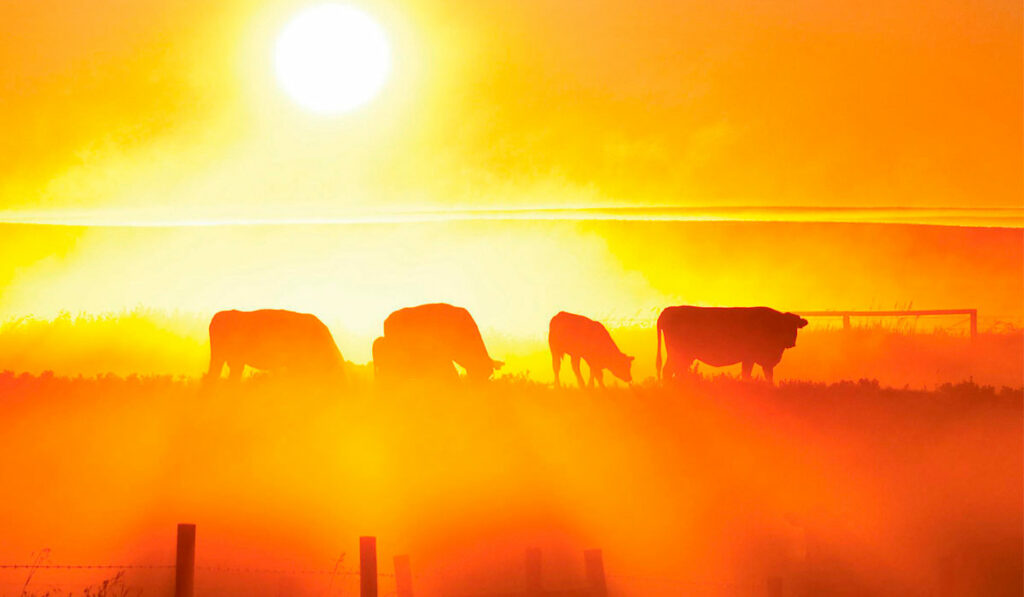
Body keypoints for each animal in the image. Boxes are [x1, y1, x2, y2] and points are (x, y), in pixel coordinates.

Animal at [655, 305, 806, 385]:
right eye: (783, 326)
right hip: (677, 353)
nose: (791, 342)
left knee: (677, 371)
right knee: (669, 370)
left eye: (795, 327)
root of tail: (668, 310)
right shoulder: (749, 358)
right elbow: (747, 375)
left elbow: (769, 377)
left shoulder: (764, 362)